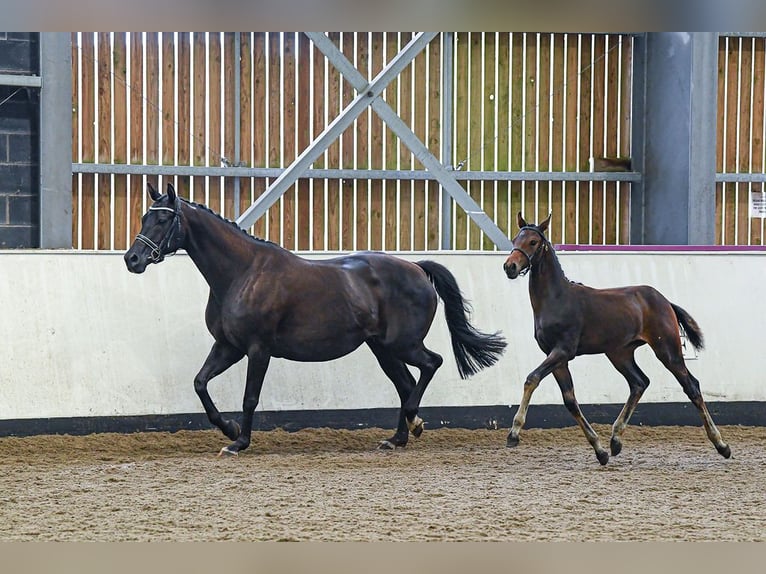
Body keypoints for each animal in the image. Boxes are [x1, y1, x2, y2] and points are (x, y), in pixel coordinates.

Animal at [124, 182, 507, 456]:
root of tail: (416, 267)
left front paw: (239, 442)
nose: (132, 259)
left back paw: (414, 424)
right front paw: (229, 430)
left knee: (431, 364)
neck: (241, 273)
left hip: (403, 344)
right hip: (382, 349)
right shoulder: (228, 346)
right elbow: (200, 383)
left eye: (163, 220)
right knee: (406, 383)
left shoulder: (257, 349)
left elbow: (250, 397)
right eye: (145, 218)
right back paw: (397, 437)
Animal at [502, 212, 730, 465]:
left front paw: (514, 434)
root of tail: (665, 301)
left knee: (691, 386)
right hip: (620, 353)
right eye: (515, 238)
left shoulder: (563, 351)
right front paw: (600, 451)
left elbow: (532, 379)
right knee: (639, 382)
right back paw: (615, 440)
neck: (556, 298)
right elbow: (570, 400)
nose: (510, 266)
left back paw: (722, 445)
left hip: (667, 350)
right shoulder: (556, 357)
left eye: (533, 242)